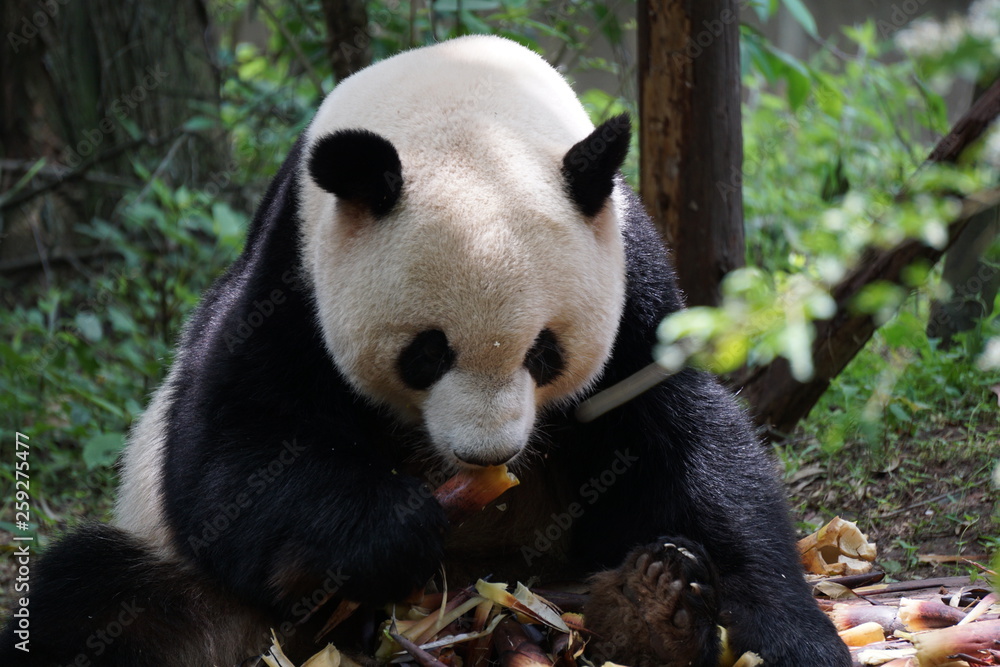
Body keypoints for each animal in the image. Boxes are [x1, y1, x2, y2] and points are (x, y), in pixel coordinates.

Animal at [1, 36, 850, 666]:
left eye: (545, 352)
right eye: (427, 353)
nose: (487, 455)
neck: (469, 115)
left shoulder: (632, 266)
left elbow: (686, 439)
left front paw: (789, 632)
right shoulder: (290, 276)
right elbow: (230, 455)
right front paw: (393, 526)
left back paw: (654, 606)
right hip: (206, 589)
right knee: (106, 599)